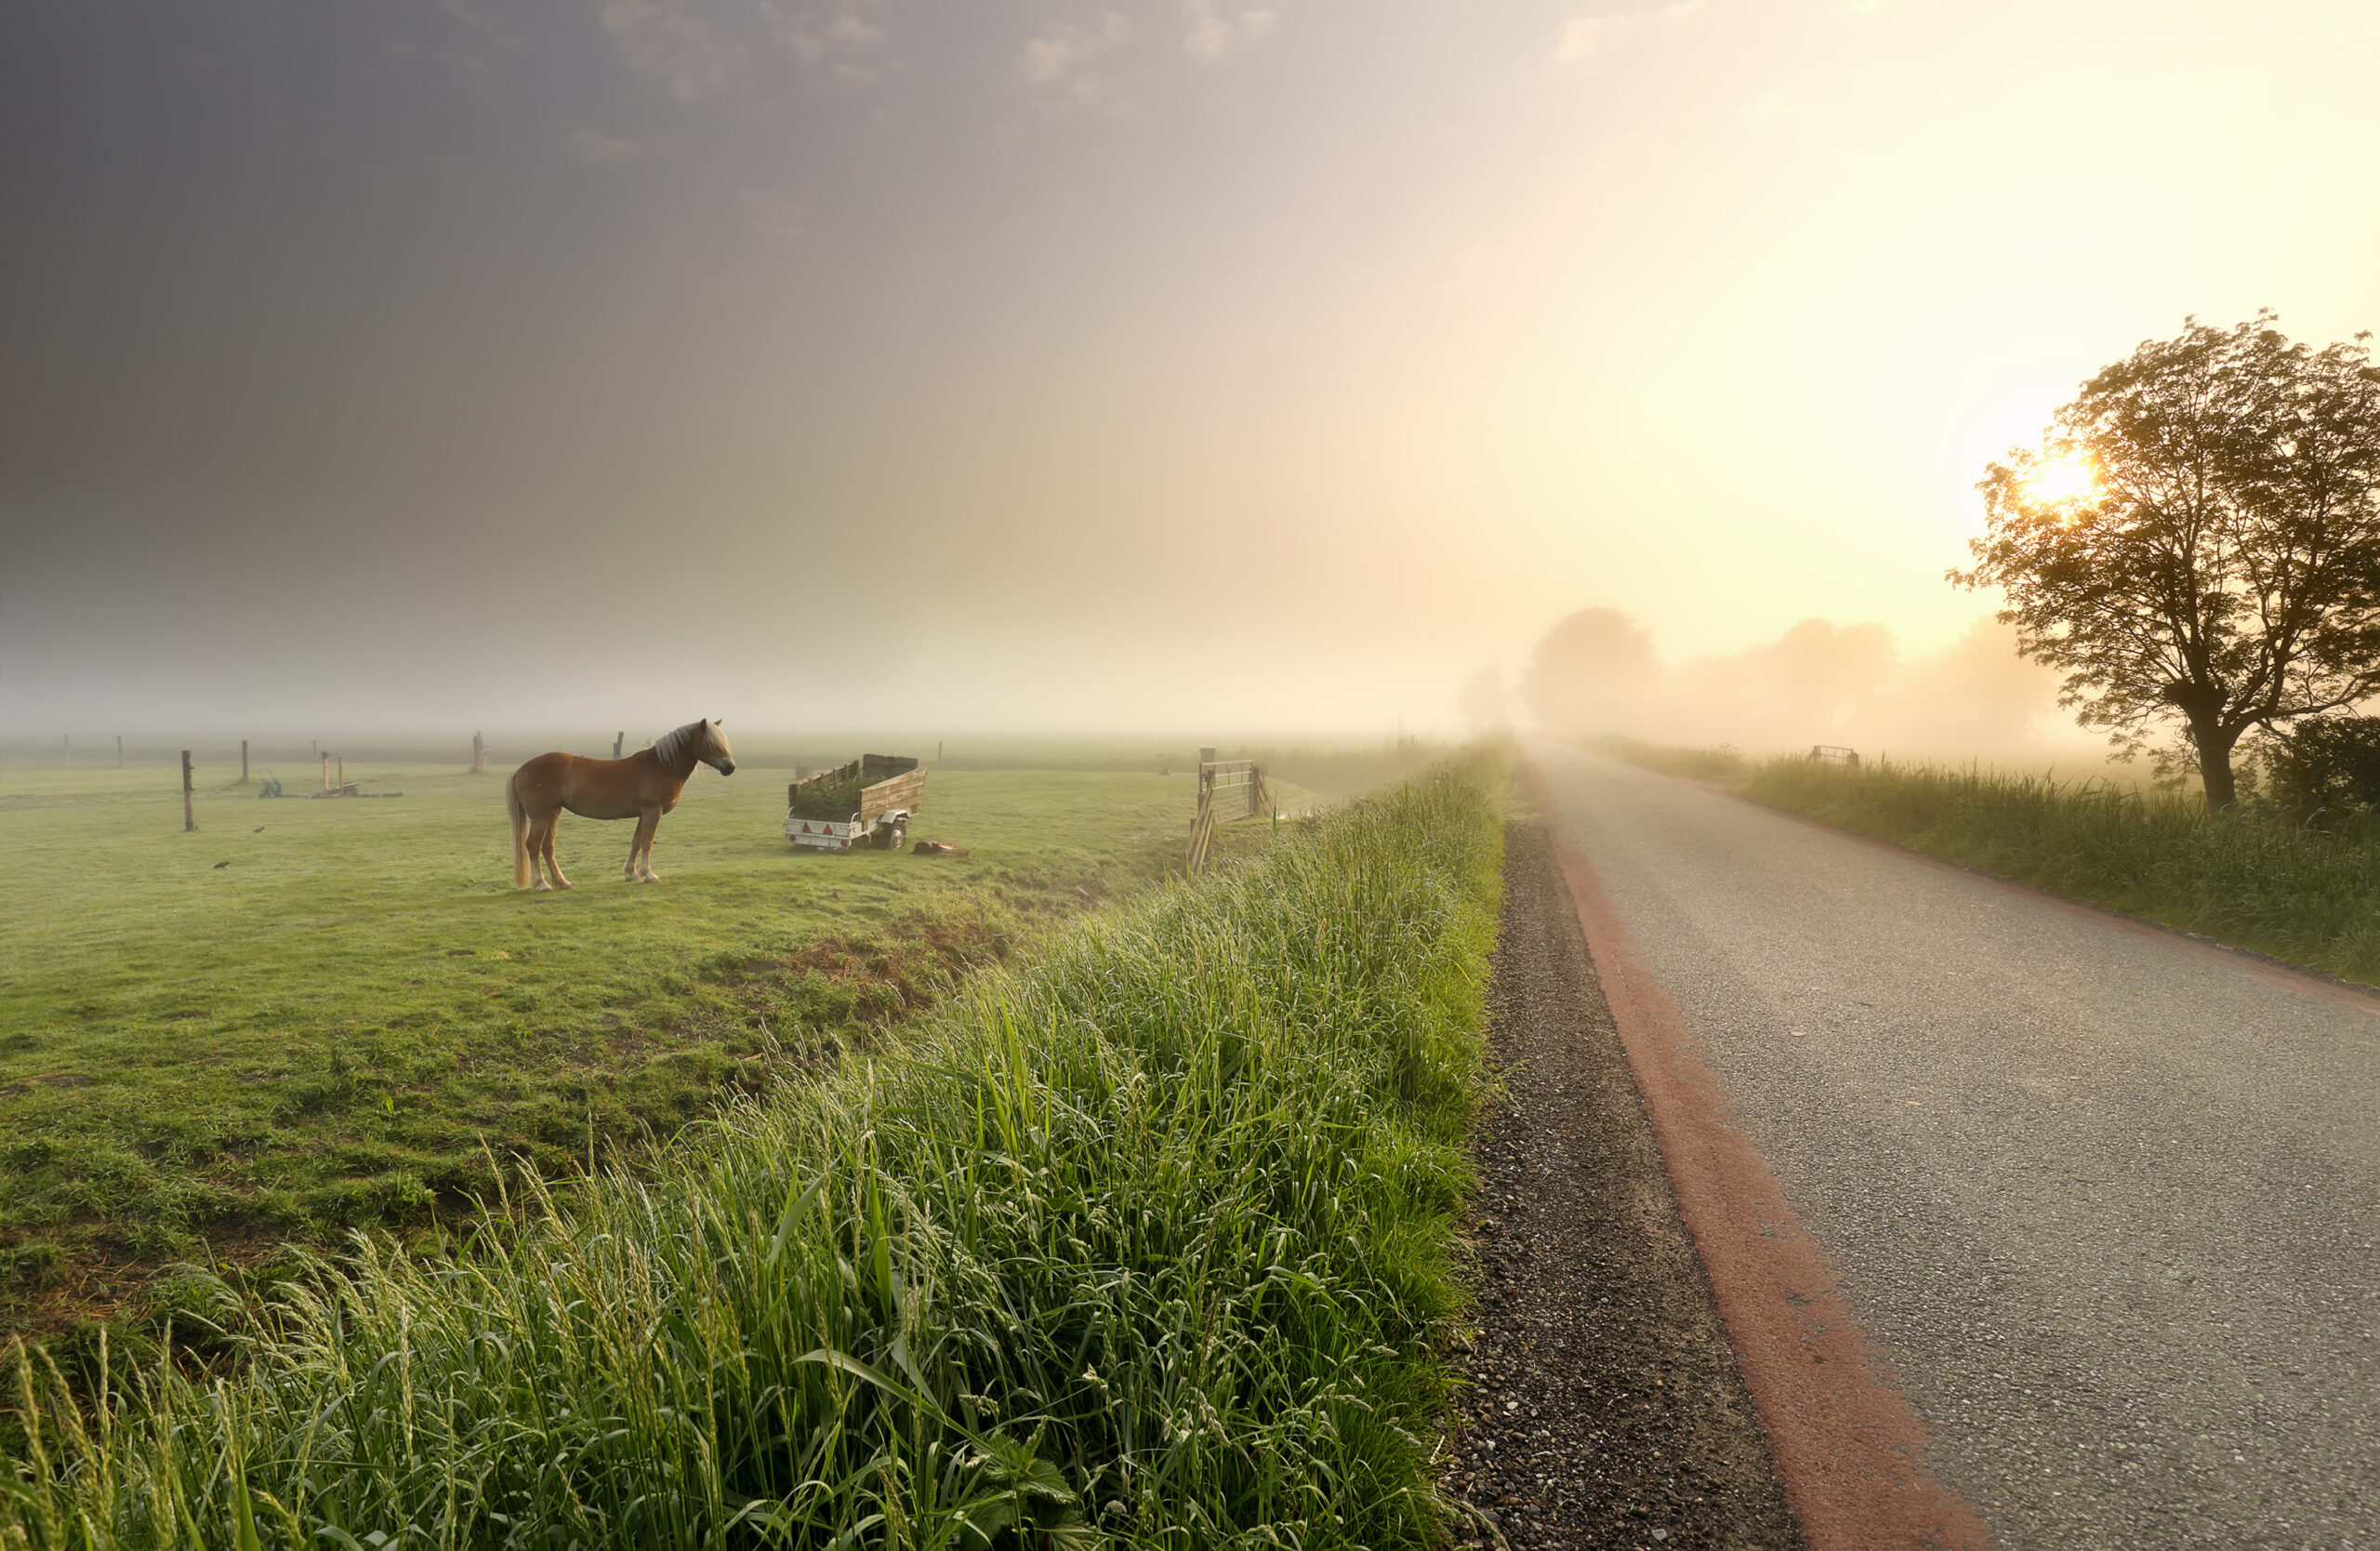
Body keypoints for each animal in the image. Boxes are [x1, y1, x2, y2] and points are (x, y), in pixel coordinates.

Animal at [499, 713, 723, 884]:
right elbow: (647, 842)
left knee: (547, 846)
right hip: (540, 817)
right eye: (710, 742)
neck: (661, 765)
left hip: (552, 814)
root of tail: (520, 770)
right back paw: (542, 884)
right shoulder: (652, 811)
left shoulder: (644, 813)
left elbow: (636, 841)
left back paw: (561, 882)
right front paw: (649, 874)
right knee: (533, 846)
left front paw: (632, 873)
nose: (729, 767)